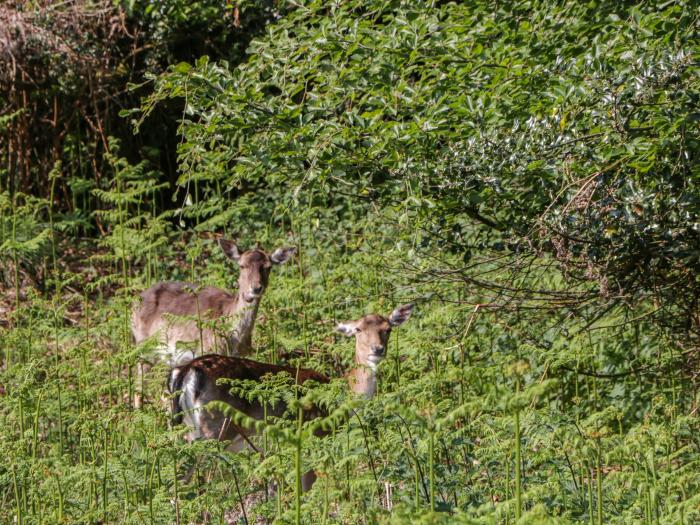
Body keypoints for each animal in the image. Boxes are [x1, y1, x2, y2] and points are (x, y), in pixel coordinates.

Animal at [131, 239, 296, 408]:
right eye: (242, 265)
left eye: (268, 267)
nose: (256, 288)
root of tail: (136, 300)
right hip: (144, 345)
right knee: (139, 385)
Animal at [167, 304, 412, 490]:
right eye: (358, 329)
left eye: (388, 329)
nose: (377, 349)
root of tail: (186, 370)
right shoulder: (315, 434)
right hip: (214, 428)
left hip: (187, 426)